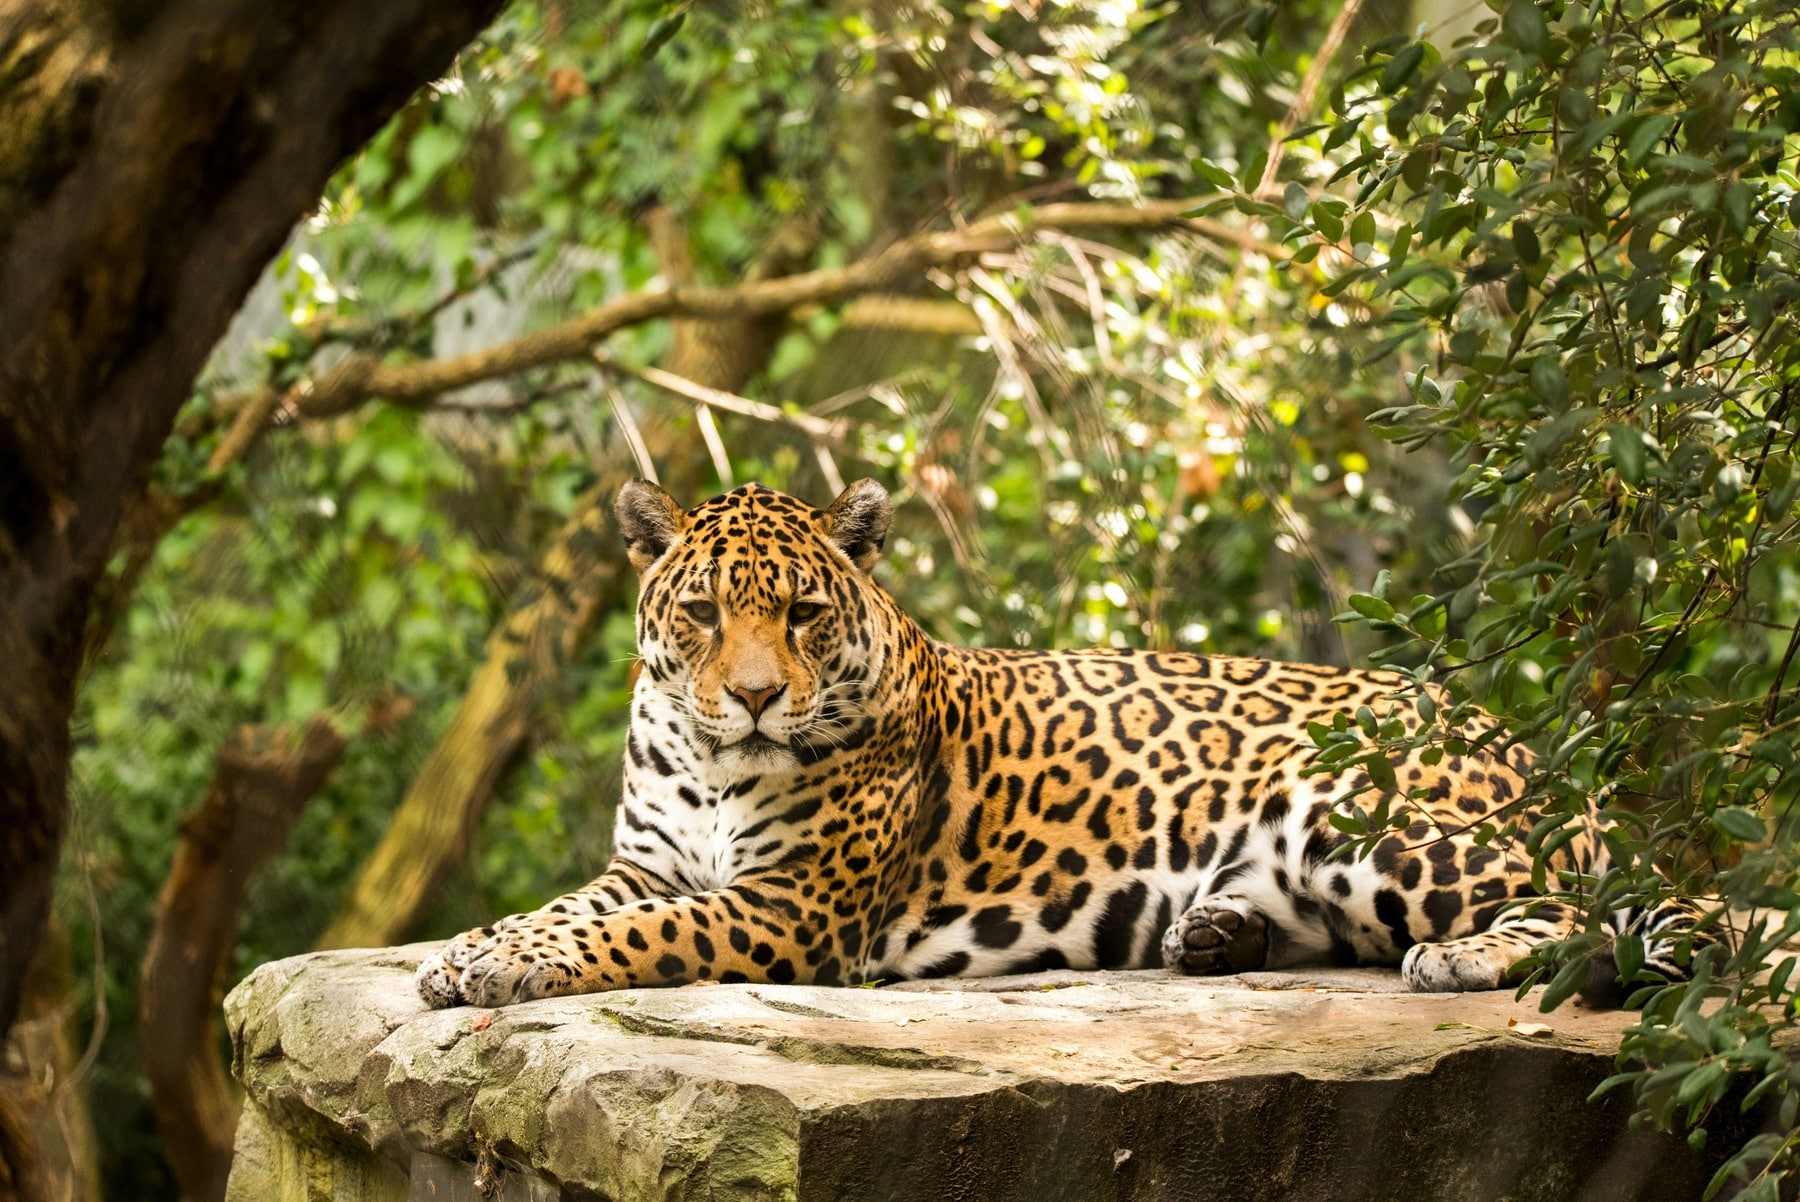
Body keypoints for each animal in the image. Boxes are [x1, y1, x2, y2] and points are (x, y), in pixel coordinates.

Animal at [417, 479, 1706, 1009]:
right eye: (700, 612)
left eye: (802, 612)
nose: (752, 696)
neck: (710, 759)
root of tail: (1513, 734)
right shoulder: (648, 859)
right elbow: (576, 906)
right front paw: (472, 947)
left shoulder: (791, 906)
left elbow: (634, 934)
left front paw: (499, 964)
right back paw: (1215, 930)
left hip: (1360, 812)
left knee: (1609, 906)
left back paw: (1460, 957)